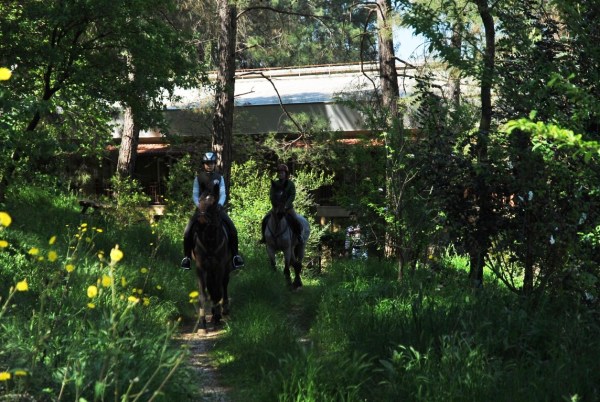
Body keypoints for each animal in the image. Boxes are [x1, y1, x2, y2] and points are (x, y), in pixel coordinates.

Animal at [191, 189, 231, 332]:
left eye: (213, 205)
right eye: (200, 202)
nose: (201, 222)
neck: (210, 241)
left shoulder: (219, 267)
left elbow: (218, 291)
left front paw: (217, 318)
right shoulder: (201, 268)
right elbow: (203, 294)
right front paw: (203, 323)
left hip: (226, 267)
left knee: (223, 285)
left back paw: (223, 309)